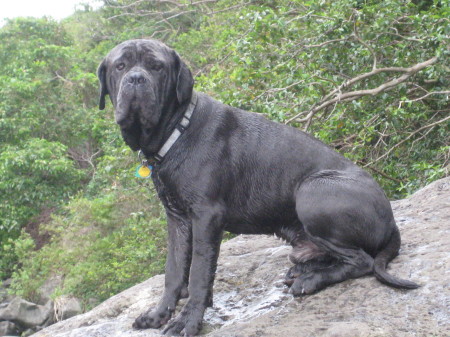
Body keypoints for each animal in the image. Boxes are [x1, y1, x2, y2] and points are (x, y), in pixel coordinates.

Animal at [97, 38, 418, 334]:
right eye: (120, 66)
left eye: (157, 67)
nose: (136, 79)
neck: (177, 129)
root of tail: (391, 221)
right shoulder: (177, 219)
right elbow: (174, 271)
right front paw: (158, 315)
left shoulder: (206, 216)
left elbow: (199, 271)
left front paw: (187, 320)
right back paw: (303, 269)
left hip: (312, 191)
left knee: (362, 260)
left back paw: (310, 279)